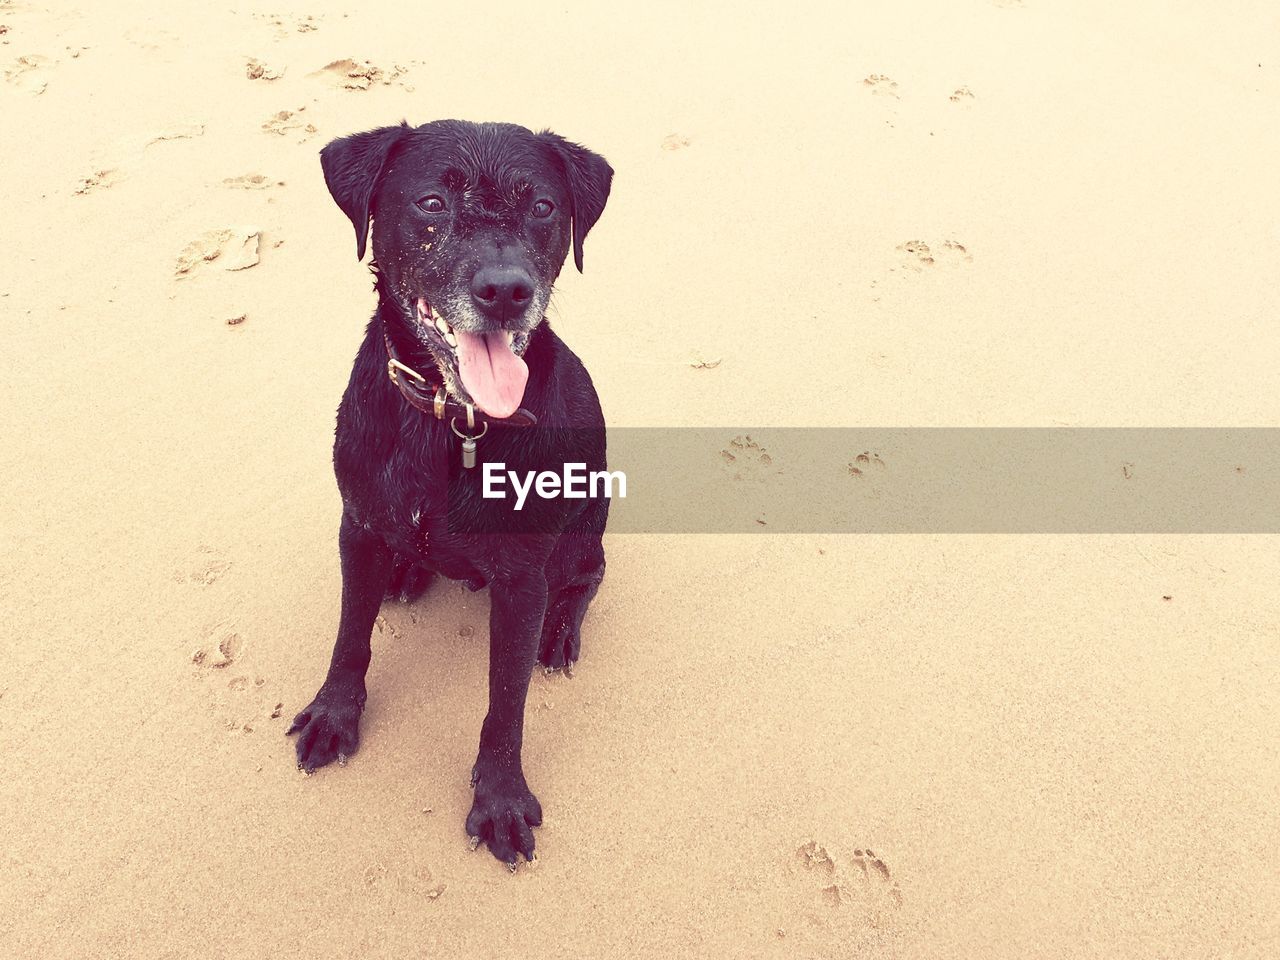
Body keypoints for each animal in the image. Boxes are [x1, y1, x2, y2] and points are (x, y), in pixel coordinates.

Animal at [288, 122, 611, 870]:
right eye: (432, 202)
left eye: (543, 207)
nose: (506, 290)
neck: (449, 421)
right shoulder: (359, 525)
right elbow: (350, 635)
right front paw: (335, 714)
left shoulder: (521, 579)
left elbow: (506, 702)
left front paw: (499, 798)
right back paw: (407, 572)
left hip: (589, 521)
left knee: (588, 574)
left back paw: (561, 631)